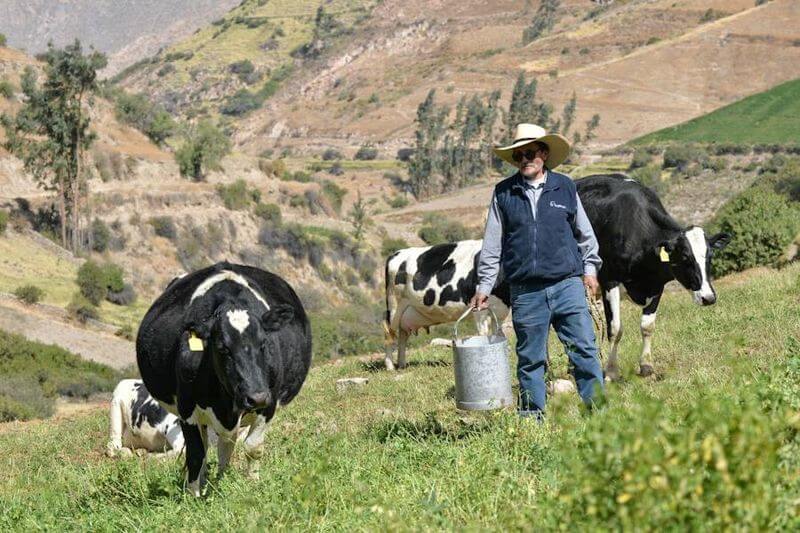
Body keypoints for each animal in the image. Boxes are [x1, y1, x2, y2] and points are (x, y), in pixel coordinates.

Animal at [138, 260, 312, 496]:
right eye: (223, 349)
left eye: (264, 344)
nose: (256, 397)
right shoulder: (187, 410)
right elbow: (195, 455)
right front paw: (194, 496)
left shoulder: (269, 404)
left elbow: (253, 447)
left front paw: (251, 486)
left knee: (226, 447)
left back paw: (222, 479)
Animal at [382, 241, 510, 370]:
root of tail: (395, 254)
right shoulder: (479, 310)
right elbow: (483, 334)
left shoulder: (500, 311)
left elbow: (499, 334)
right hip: (394, 306)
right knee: (389, 332)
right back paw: (390, 366)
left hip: (406, 312)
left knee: (403, 334)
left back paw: (402, 365)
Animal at [576, 175, 732, 378]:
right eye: (685, 257)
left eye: (710, 256)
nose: (708, 297)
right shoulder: (609, 280)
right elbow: (615, 329)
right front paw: (611, 372)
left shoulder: (657, 284)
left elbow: (647, 326)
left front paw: (647, 367)